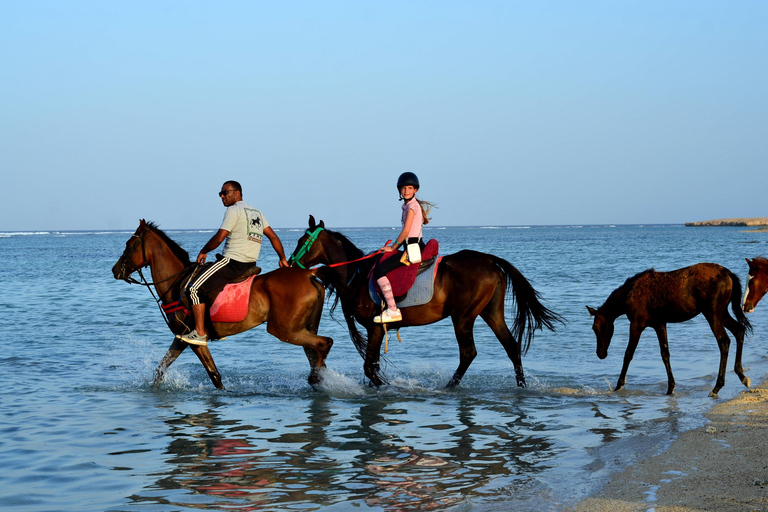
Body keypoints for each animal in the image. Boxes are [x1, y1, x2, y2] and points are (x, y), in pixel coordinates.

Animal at [112, 218, 340, 390]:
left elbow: (214, 375)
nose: (115, 270)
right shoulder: (181, 338)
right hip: (303, 327)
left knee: (323, 343)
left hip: (284, 329)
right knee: (315, 350)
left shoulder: (194, 339)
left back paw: (317, 378)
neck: (177, 283)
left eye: (129, 245)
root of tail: (309, 273)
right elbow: (160, 370)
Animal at [284, 215, 560, 388]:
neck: (357, 275)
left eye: (301, 241)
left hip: (463, 316)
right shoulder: (376, 330)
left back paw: (448, 387)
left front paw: (387, 387)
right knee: (511, 346)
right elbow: (372, 366)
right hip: (491, 312)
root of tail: (490, 260)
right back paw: (521, 386)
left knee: (468, 352)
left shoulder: (375, 327)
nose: (288, 264)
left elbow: (370, 368)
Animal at [588, 262, 752, 398]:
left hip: (712, 314)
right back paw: (742, 376)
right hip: (722, 313)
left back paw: (717, 387)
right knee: (739, 331)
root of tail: (728, 273)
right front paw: (670, 387)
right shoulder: (659, 324)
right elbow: (665, 354)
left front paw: (618, 385)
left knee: (724, 341)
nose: (600, 353)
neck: (629, 294)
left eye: (597, 328)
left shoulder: (636, 325)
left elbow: (628, 354)